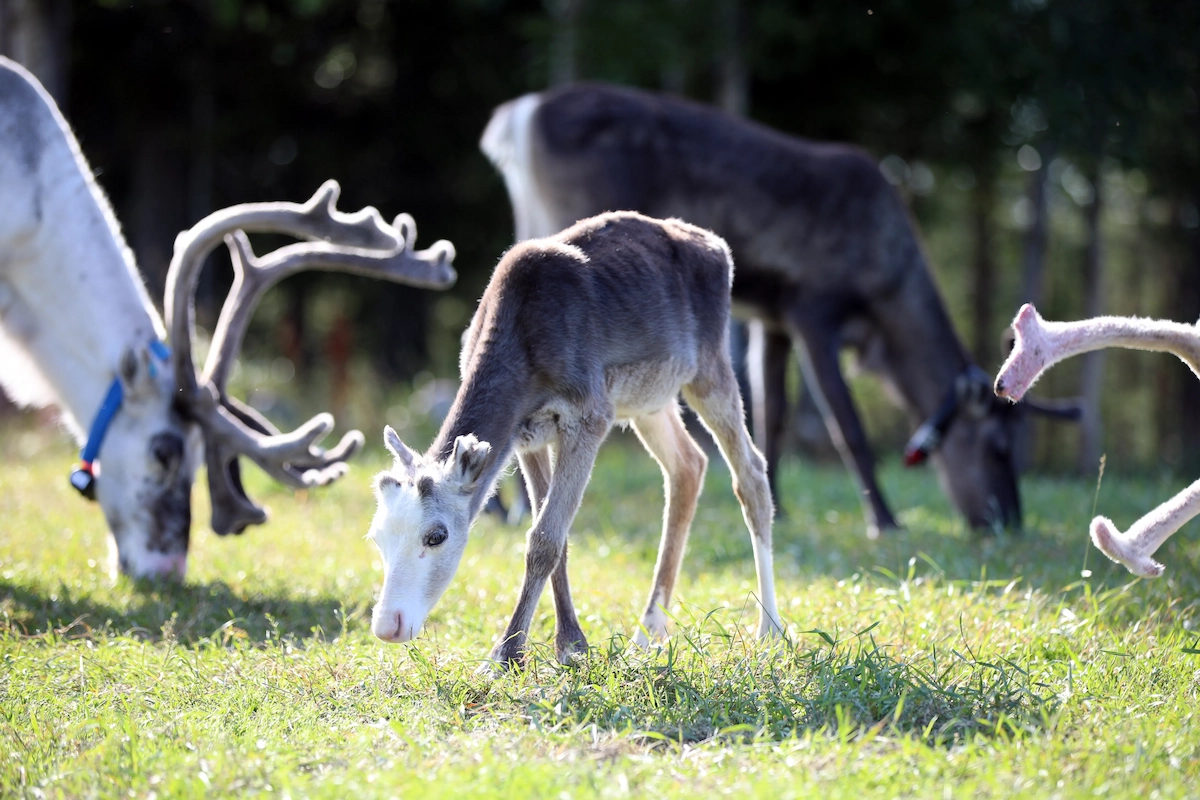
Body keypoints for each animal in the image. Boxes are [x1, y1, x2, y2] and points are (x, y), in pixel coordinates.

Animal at [366, 211, 782, 667]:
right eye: (377, 536)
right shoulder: (525, 436)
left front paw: (506, 655)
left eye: (436, 535)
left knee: (750, 472)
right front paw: (570, 644)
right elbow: (555, 535)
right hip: (648, 401)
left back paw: (770, 630)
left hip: (708, 364)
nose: (387, 626)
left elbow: (544, 540)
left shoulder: (589, 414)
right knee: (688, 465)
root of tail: (718, 247)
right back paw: (648, 632)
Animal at [480, 82, 1079, 538]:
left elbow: (774, 412)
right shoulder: (815, 307)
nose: (1008, 522)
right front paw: (884, 519)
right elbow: (846, 424)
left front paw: (780, 508)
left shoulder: (773, 320)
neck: (885, 295)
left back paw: (502, 506)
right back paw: (508, 505)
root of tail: (517, 117)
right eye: (999, 446)